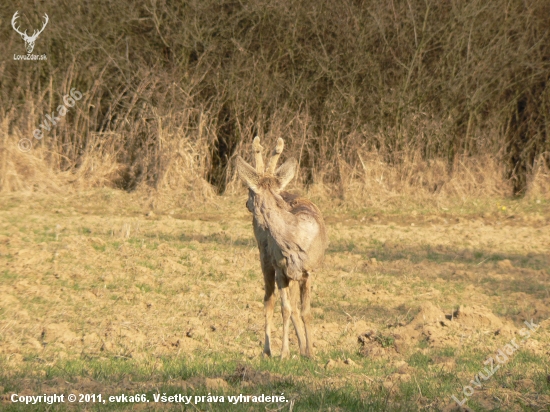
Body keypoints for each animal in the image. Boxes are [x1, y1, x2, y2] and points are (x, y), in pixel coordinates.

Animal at [236, 138, 328, 358]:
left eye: (249, 190)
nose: (246, 204)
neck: (293, 238)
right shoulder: (280, 268)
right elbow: (285, 309)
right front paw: (284, 352)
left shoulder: (308, 272)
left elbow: (306, 312)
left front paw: (311, 352)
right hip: (265, 259)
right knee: (269, 301)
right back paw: (267, 350)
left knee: (292, 306)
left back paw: (302, 349)